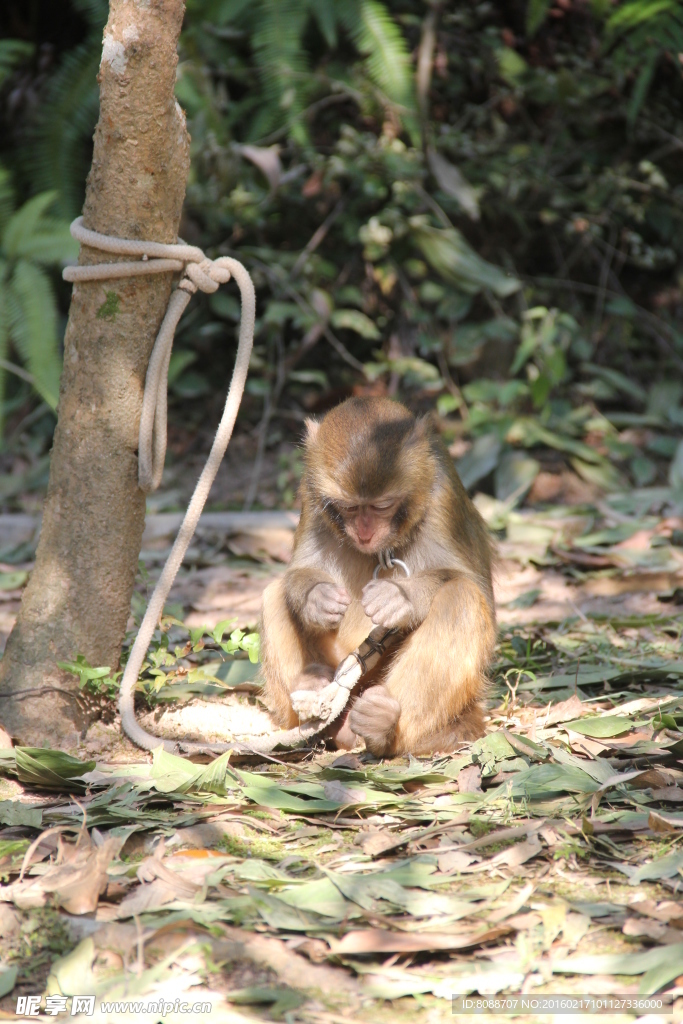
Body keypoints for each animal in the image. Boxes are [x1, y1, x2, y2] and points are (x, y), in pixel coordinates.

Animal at [259, 395, 493, 757]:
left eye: (382, 506)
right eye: (350, 507)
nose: (365, 532)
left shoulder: (444, 497)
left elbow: (470, 581)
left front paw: (399, 598)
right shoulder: (311, 494)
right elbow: (299, 570)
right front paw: (317, 598)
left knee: (462, 597)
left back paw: (383, 727)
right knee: (276, 591)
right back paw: (315, 697)